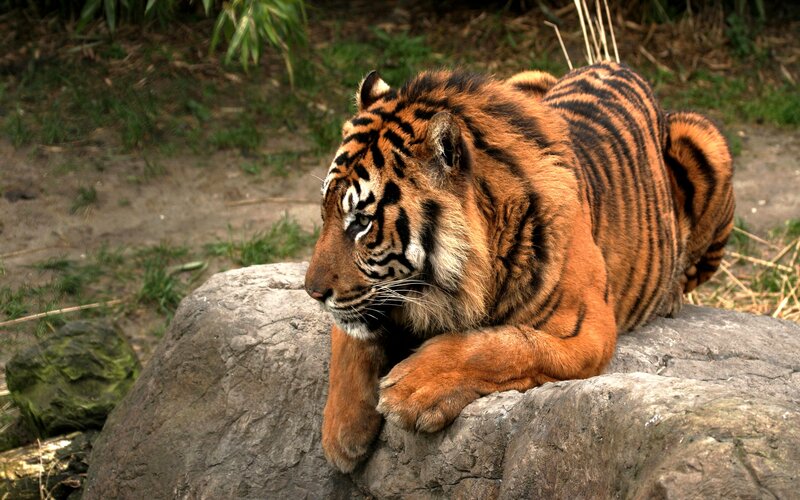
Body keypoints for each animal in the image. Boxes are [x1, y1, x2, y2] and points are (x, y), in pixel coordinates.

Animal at [304, 61, 734, 473]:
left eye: (362, 221)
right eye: (325, 212)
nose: (312, 291)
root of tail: (619, 65)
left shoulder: (588, 329)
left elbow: (505, 345)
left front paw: (412, 387)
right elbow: (349, 340)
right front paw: (340, 434)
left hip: (707, 138)